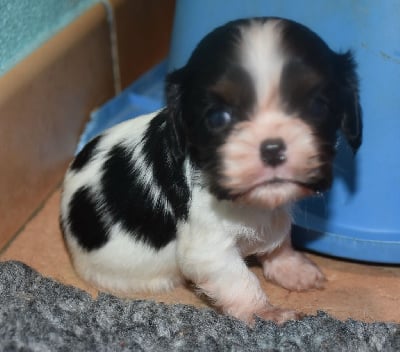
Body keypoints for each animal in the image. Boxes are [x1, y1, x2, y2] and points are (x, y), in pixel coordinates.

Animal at [59, 17, 362, 324]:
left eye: (317, 106)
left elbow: (279, 237)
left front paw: (292, 268)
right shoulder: (209, 249)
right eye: (218, 117)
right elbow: (240, 280)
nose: (272, 148)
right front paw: (266, 313)